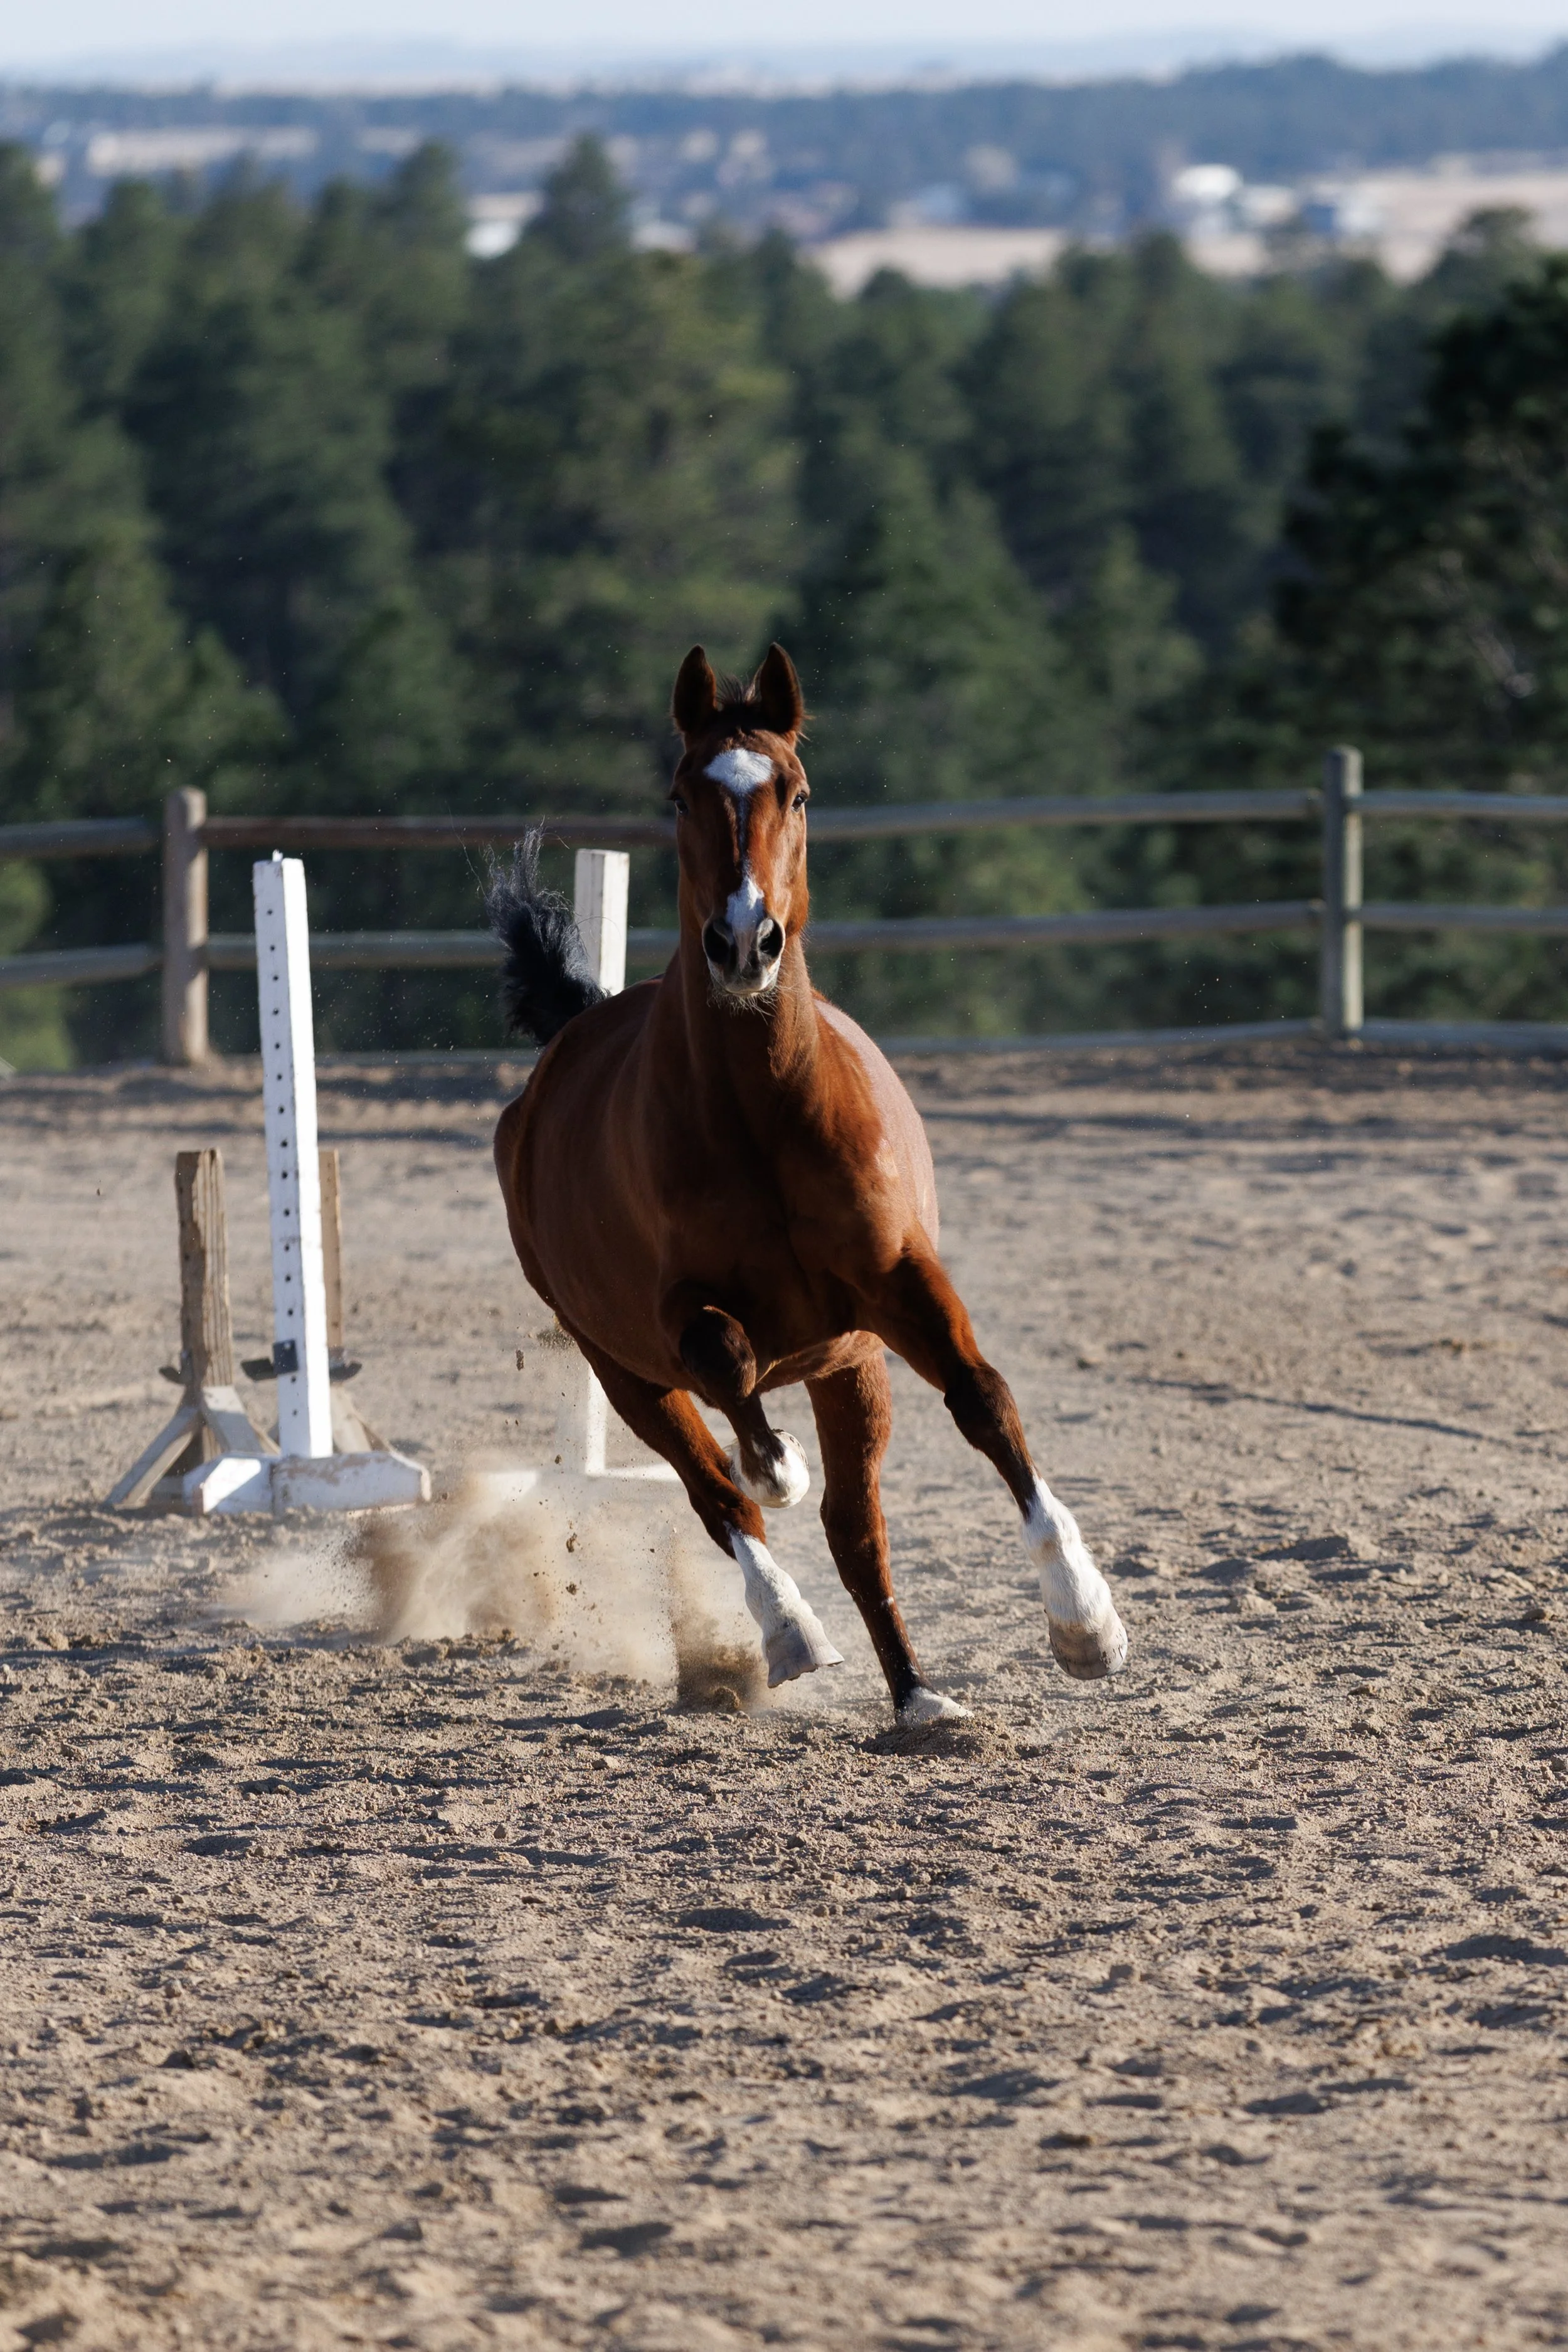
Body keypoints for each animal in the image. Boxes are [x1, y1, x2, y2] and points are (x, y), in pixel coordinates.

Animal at [489, 643, 1128, 1725]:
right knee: (718, 1487)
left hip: (851, 1368)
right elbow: (729, 1367)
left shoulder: (898, 1284)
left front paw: (1085, 1618)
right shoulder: (674, 1312)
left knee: (853, 1526)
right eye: (679, 794)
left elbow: (984, 1401)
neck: (765, 1118)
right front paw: (774, 1461)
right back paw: (791, 1623)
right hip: (622, 1370)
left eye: (796, 790)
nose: (746, 941)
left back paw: (918, 1698)